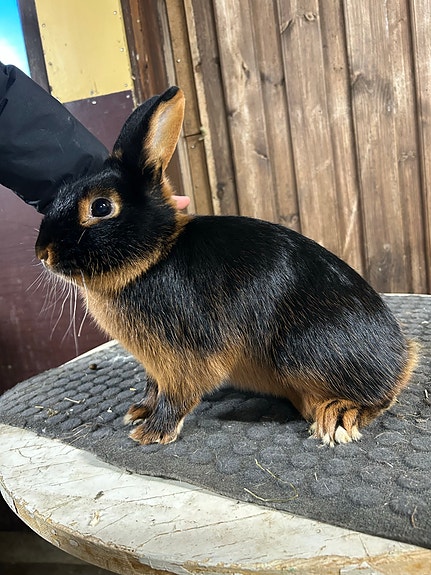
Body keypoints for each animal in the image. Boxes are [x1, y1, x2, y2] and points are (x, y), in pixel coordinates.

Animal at [35, 86, 417, 447]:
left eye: (100, 207)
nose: (43, 252)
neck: (154, 257)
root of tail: (403, 358)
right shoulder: (154, 364)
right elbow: (153, 387)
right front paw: (139, 412)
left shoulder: (184, 354)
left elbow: (178, 393)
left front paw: (152, 433)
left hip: (302, 352)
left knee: (379, 398)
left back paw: (336, 416)